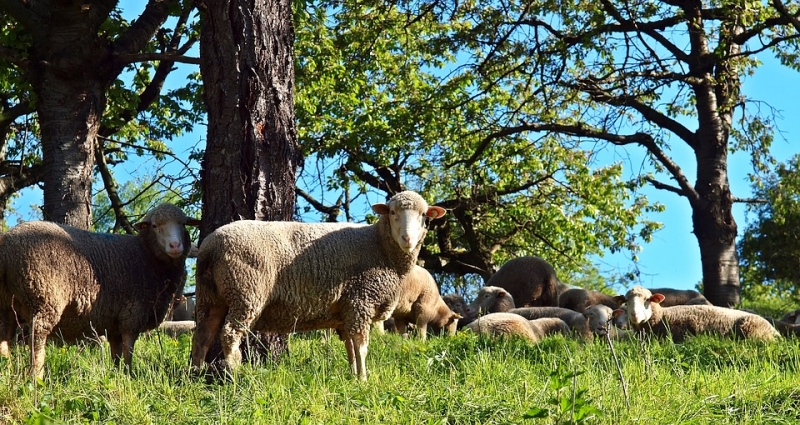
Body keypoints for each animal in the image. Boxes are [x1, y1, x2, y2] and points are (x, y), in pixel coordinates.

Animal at [0, 203, 199, 378]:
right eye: (155, 226)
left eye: (183, 224)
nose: (175, 245)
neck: (146, 254)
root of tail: (5, 247)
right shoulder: (132, 314)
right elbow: (128, 350)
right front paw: (129, 375)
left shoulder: (114, 323)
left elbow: (116, 353)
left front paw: (118, 374)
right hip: (44, 297)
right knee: (37, 338)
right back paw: (37, 377)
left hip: (6, 303)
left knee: (3, 335)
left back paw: (6, 368)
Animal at [191, 190, 446, 380]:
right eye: (393, 212)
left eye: (424, 215)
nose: (407, 239)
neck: (379, 245)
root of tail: (210, 246)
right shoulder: (360, 301)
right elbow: (361, 346)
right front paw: (364, 379)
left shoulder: (346, 310)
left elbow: (350, 348)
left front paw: (353, 376)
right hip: (246, 291)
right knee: (229, 334)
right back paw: (236, 372)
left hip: (211, 296)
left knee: (202, 334)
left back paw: (195, 374)